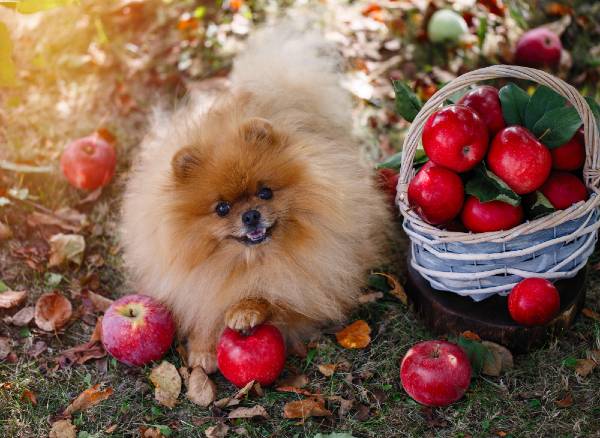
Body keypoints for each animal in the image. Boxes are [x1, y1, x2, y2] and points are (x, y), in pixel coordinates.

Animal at [120, 24, 392, 372]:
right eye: (221, 208)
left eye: (265, 192)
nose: (250, 215)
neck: (248, 261)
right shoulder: (192, 283)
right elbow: (204, 308)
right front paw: (203, 350)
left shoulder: (306, 282)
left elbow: (273, 296)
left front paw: (244, 310)